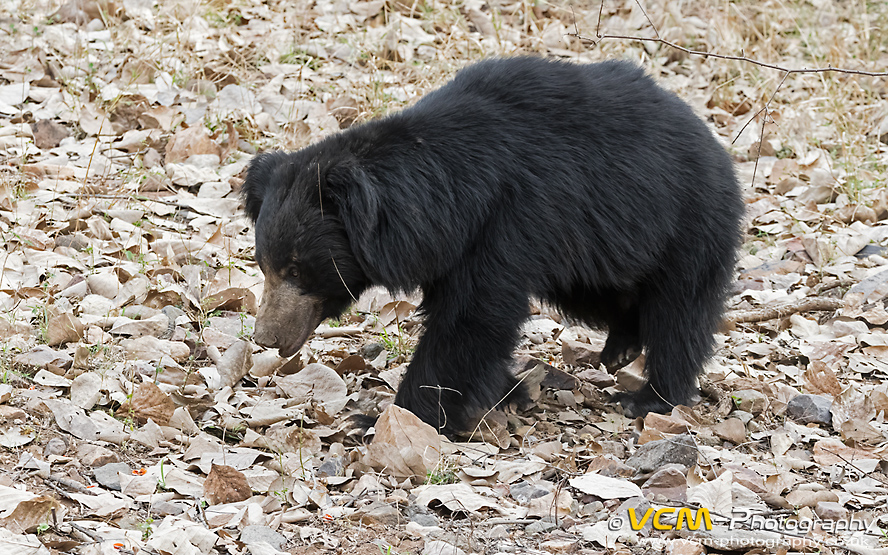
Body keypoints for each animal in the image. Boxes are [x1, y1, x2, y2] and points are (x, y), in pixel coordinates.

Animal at [241, 57, 744, 438]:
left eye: (297, 270)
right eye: (264, 265)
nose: (266, 339)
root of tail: (717, 148)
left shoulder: (506, 220)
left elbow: (471, 320)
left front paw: (383, 419)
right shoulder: (453, 246)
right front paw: (509, 392)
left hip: (685, 224)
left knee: (680, 313)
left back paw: (648, 399)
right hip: (601, 250)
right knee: (609, 292)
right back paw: (621, 347)